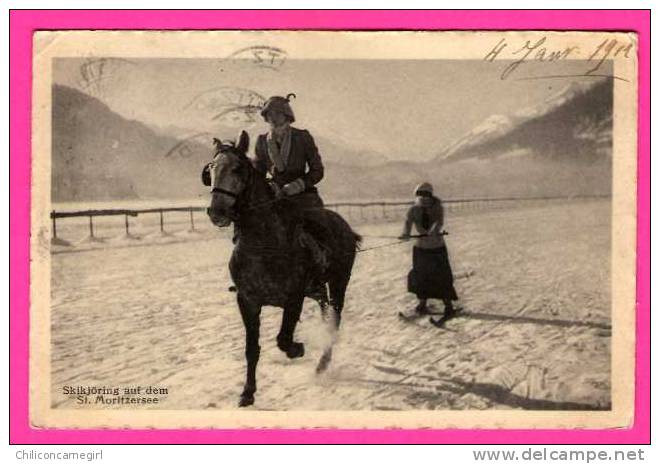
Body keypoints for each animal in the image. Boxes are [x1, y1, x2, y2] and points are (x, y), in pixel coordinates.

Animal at [205, 130, 360, 406]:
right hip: (317, 289)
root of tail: (344, 226)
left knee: (334, 320)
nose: (217, 211)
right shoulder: (247, 301)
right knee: (325, 312)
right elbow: (251, 349)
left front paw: (298, 349)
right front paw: (248, 392)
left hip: (339, 282)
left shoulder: (293, 298)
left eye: (237, 168)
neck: (263, 244)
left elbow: (283, 338)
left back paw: (323, 363)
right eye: (211, 168)